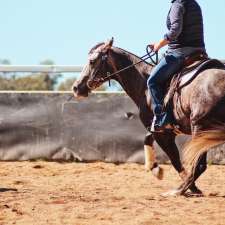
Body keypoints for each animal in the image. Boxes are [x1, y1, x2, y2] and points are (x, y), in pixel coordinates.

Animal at [72, 38, 225, 195]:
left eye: (92, 61)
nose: (76, 87)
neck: (144, 85)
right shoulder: (159, 128)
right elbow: (147, 139)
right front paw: (155, 169)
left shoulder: (162, 132)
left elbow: (175, 160)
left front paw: (191, 187)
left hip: (200, 129)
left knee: (199, 165)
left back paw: (178, 190)